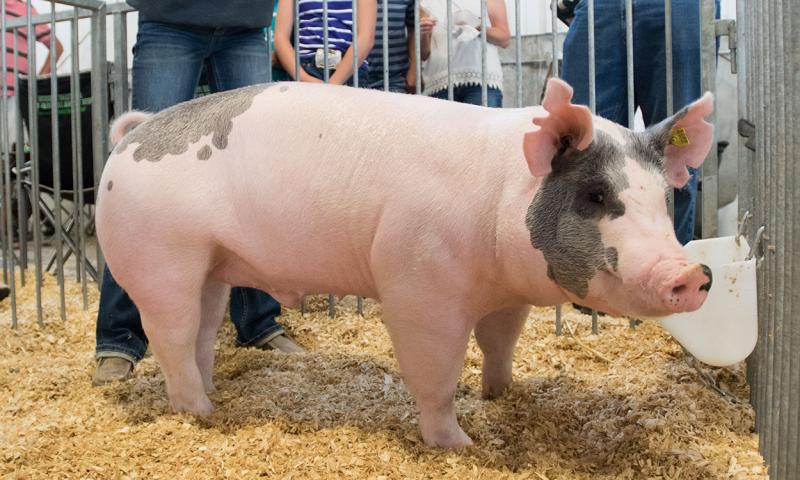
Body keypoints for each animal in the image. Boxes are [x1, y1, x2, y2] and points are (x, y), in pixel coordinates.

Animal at [96, 78, 713, 448]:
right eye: (595, 195)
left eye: (664, 197)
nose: (692, 274)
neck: (500, 198)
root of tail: (133, 134)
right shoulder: (420, 286)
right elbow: (435, 372)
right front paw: (459, 444)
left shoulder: (506, 296)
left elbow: (499, 343)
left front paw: (501, 395)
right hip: (160, 256)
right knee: (171, 336)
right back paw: (201, 413)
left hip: (211, 263)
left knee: (202, 332)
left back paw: (212, 398)